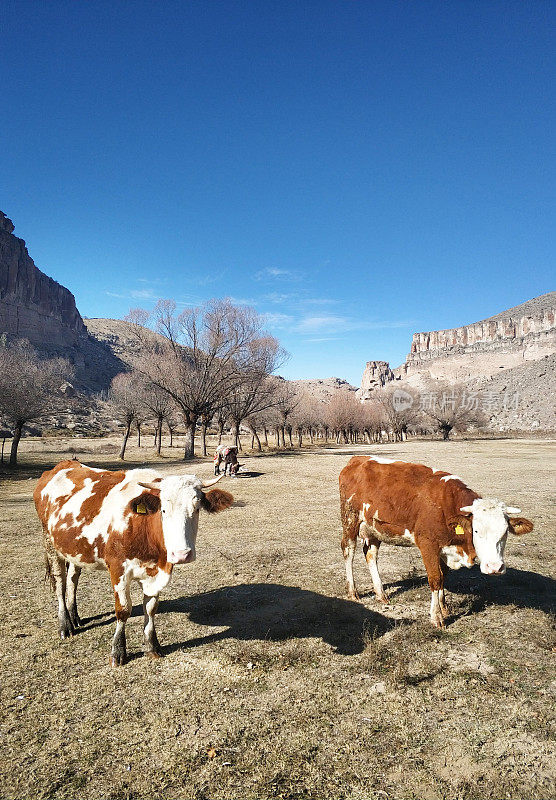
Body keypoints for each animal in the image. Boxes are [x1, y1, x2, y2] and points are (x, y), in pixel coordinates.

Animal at [34, 460, 235, 664]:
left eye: (197, 509)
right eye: (163, 510)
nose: (182, 554)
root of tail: (63, 464)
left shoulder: (154, 573)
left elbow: (151, 608)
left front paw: (152, 646)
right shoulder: (118, 570)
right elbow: (123, 609)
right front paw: (118, 651)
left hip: (75, 550)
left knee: (73, 579)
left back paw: (75, 617)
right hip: (50, 543)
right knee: (60, 583)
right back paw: (65, 625)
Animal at [338, 456, 536, 624]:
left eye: (505, 532)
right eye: (476, 530)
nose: (494, 568)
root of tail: (357, 459)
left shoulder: (446, 549)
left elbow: (443, 577)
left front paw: (444, 607)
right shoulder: (428, 545)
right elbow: (435, 578)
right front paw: (436, 617)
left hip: (375, 528)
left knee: (371, 554)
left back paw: (381, 594)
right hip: (350, 520)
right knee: (348, 551)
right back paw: (353, 591)